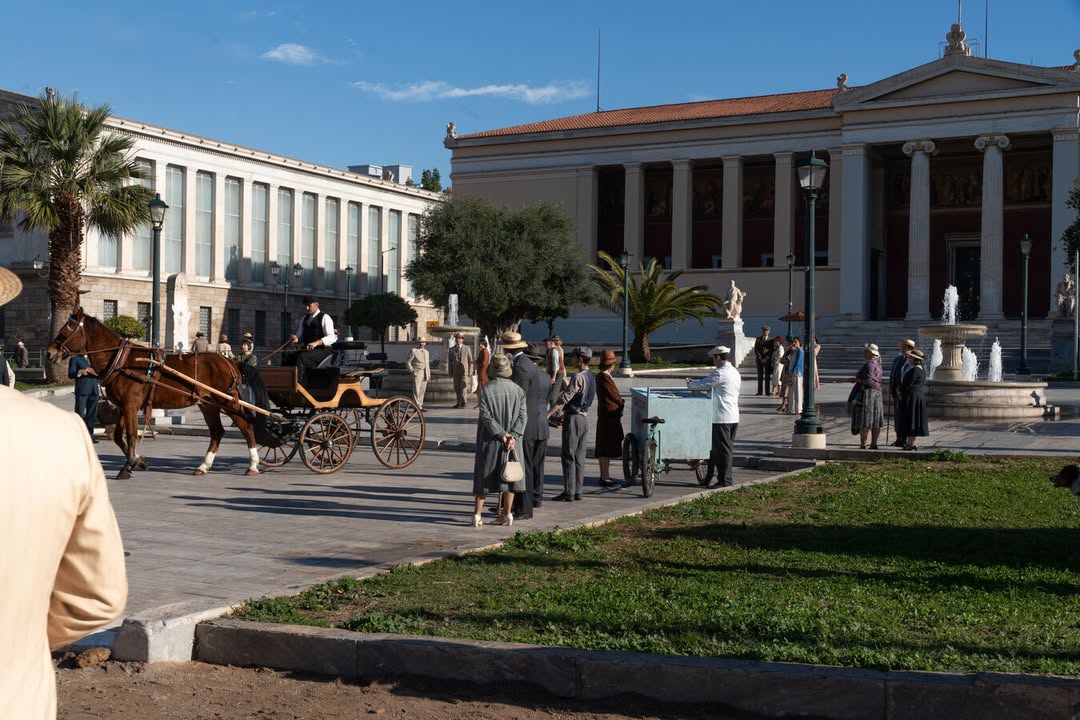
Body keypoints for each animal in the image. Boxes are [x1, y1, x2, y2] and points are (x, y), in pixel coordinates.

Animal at [48, 308, 263, 481]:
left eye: (66, 331)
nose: (50, 353)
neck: (121, 360)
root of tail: (230, 362)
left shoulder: (131, 404)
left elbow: (131, 435)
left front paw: (128, 465)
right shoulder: (124, 406)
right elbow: (118, 436)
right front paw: (139, 461)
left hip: (228, 402)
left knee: (246, 427)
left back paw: (253, 464)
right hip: (208, 404)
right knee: (217, 432)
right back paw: (203, 466)